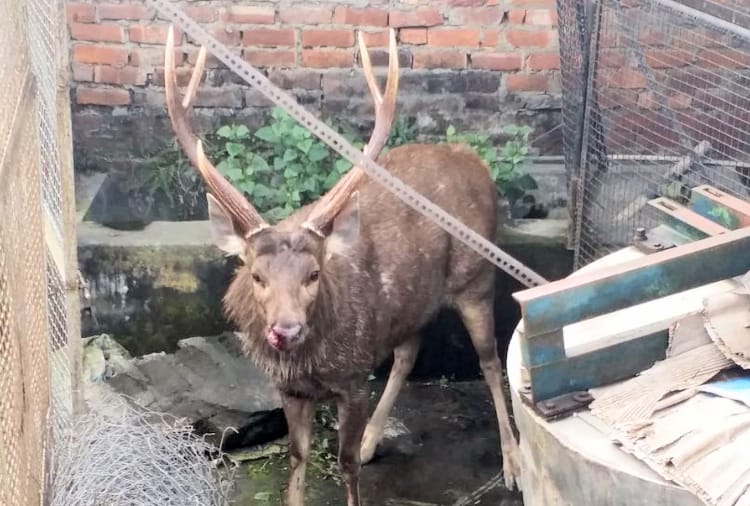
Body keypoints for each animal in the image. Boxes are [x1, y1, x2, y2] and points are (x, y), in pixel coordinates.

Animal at [163, 26, 521, 506]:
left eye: (314, 274)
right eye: (257, 276)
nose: (286, 330)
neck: (313, 364)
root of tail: (473, 160)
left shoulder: (353, 377)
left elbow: (344, 463)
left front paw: (354, 460)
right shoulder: (289, 389)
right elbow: (297, 459)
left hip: (477, 280)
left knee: (490, 361)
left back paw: (512, 462)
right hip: (412, 300)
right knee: (408, 352)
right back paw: (373, 440)